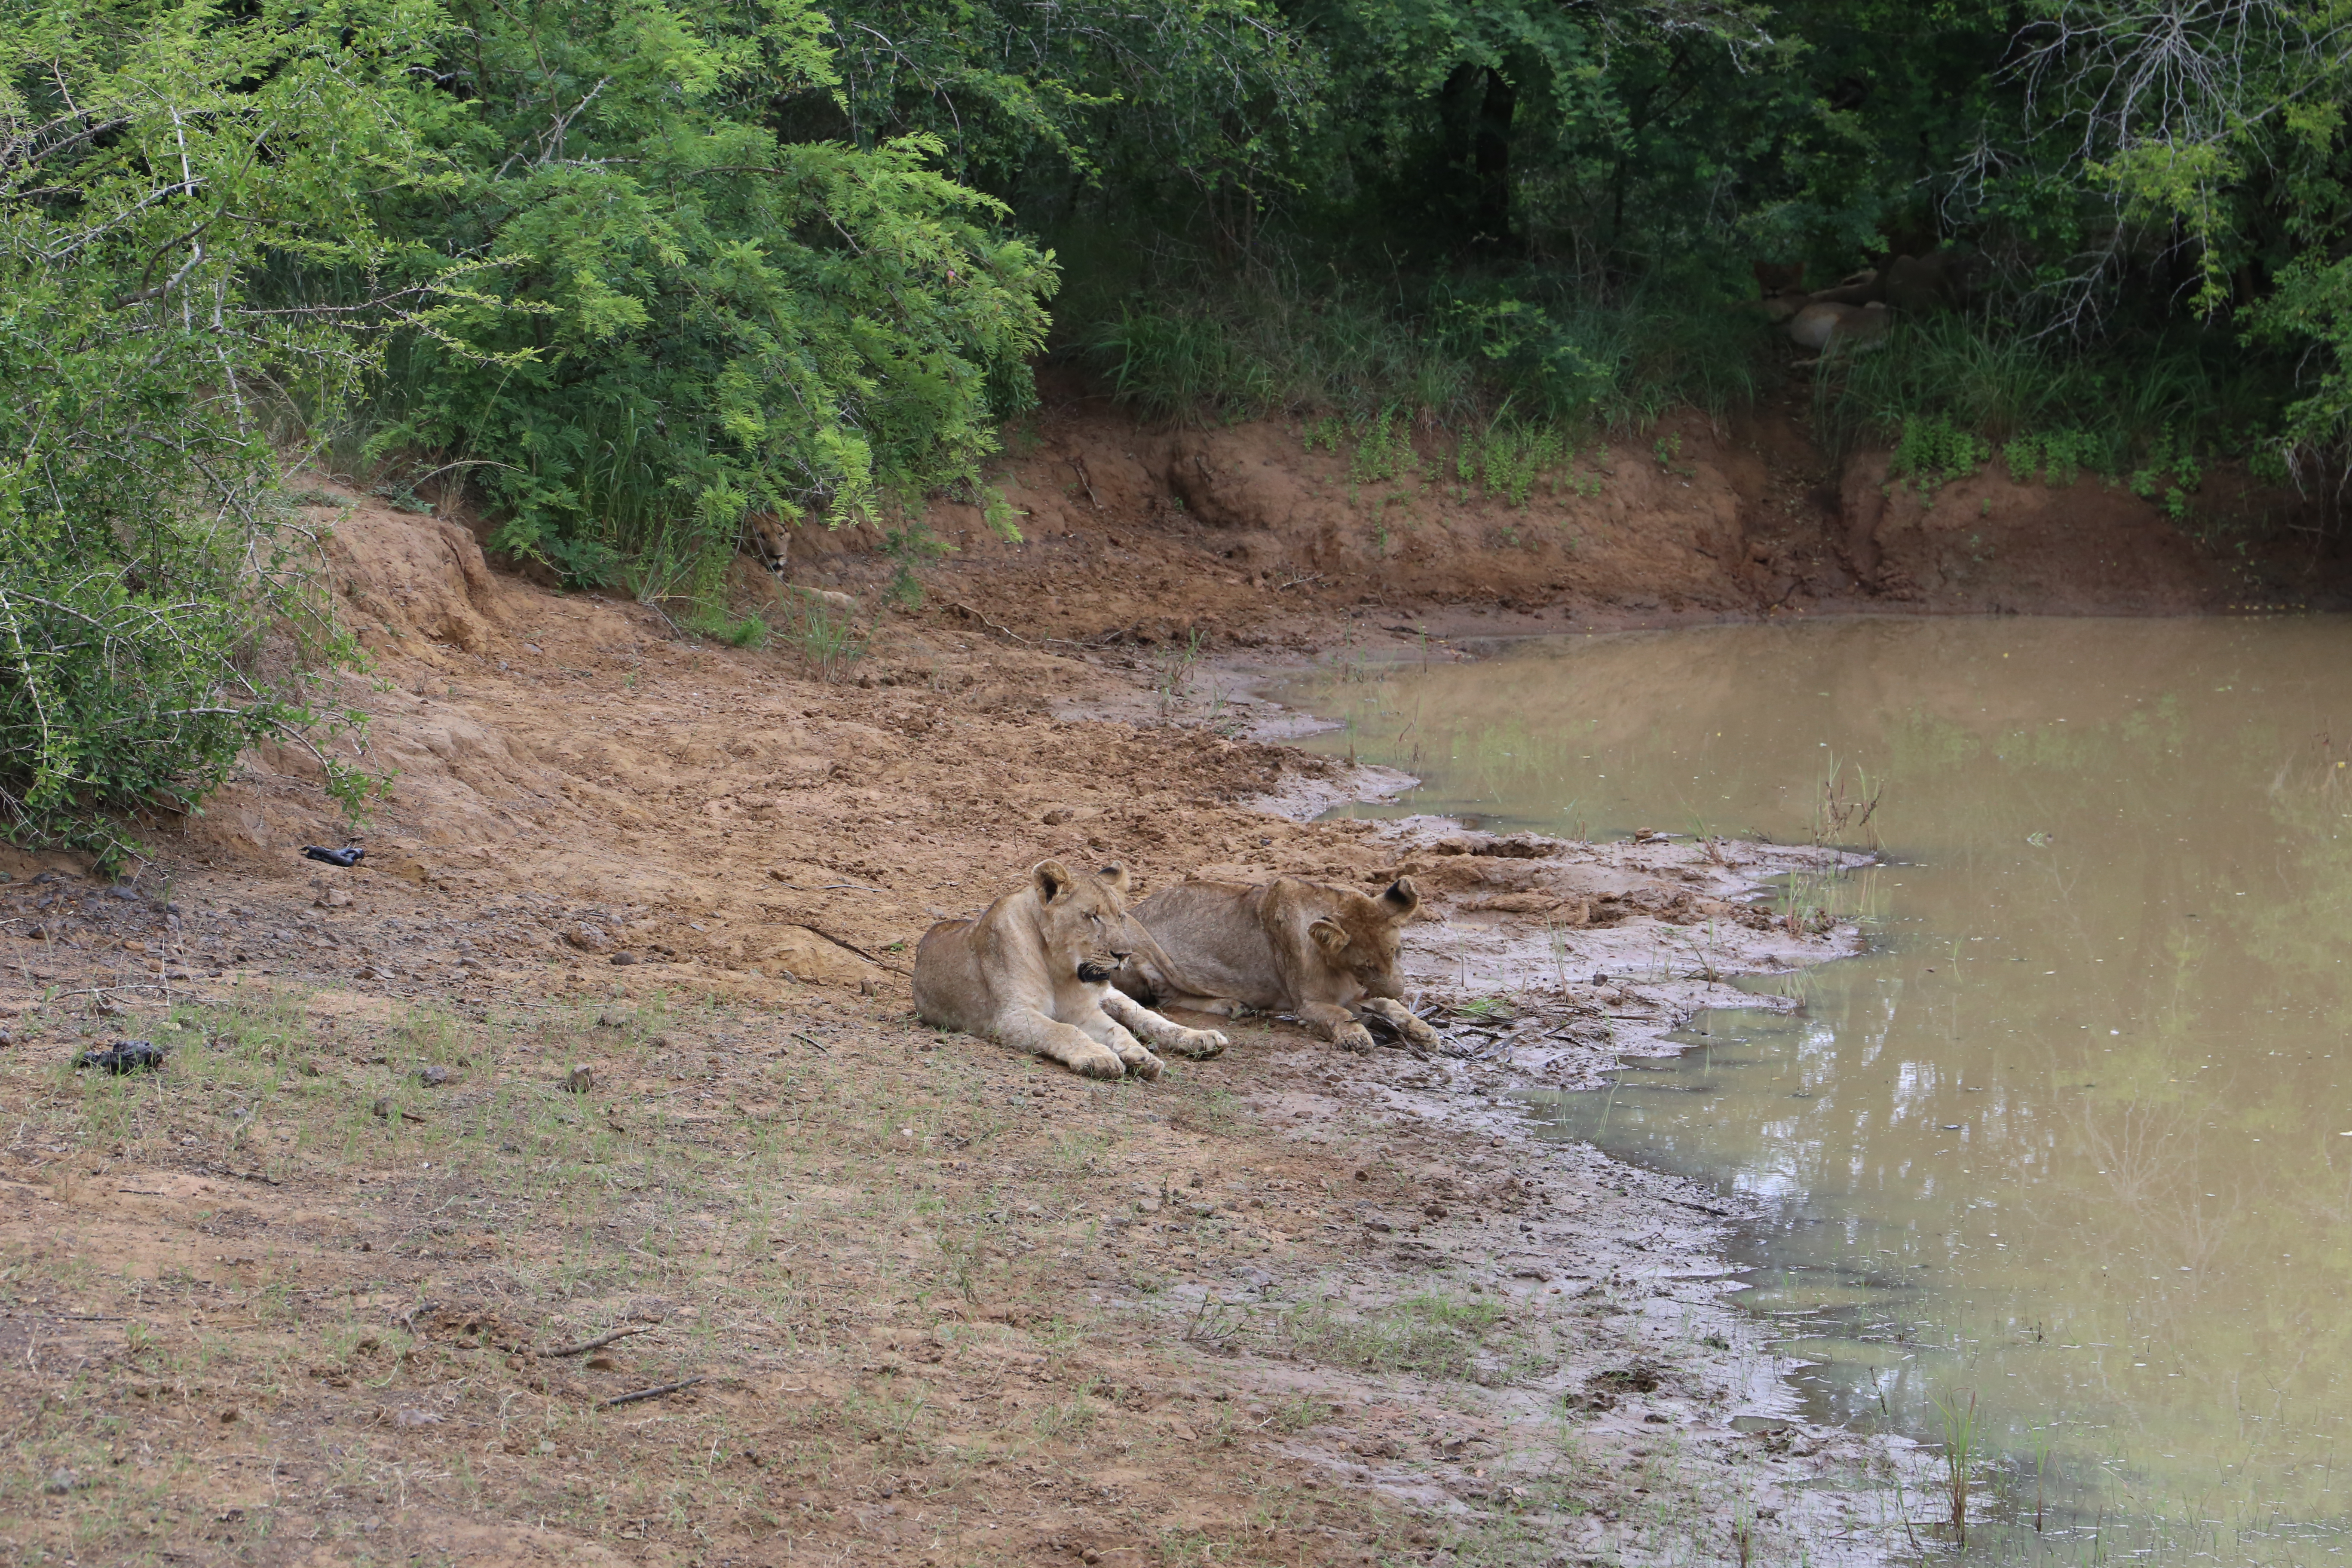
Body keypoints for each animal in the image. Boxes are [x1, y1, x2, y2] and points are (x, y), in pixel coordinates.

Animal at [913, 860, 1229, 1079]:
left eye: (1121, 917)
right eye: (1092, 917)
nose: (1125, 955)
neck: (1060, 969)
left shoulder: (1083, 1011)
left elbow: (1117, 1030)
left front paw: (1139, 1056)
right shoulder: (1010, 1016)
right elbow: (1063, 1031)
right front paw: (1101, 1058)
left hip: (1115, 997)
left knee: (1146, 1017)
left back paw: (1201, 1039)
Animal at [1115, 876, 1440, 1054]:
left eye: (1397, 952)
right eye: (1366, 965)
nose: (1400, 990)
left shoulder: (1361, 993)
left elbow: (1390, 1007)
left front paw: (1424, 1030)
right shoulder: (1307, 1004)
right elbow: (1340, 1015)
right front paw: (1356, 1037)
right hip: (1138, 946)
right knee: (1165, 998)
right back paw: (1229, 1006)